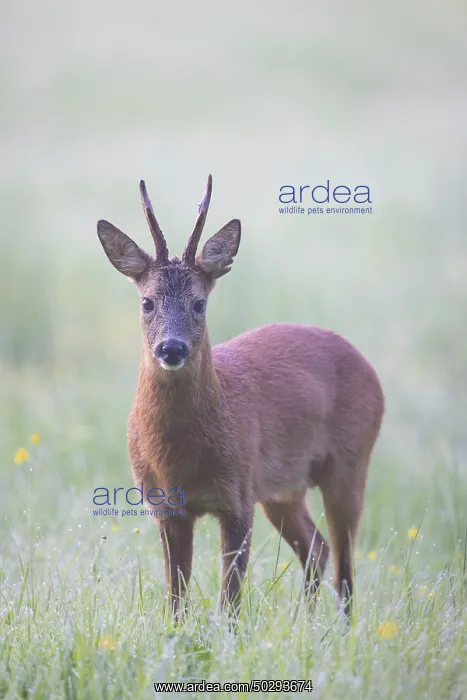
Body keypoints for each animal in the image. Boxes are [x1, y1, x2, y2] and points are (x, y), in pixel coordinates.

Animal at [96, 174, 384, 620]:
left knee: (345, 564)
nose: (172, 348)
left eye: (200, 303)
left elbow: (229, 601)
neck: (178, 457)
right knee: (317, 549)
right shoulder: (165, 507)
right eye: (147, 302)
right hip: (284, 490)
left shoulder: (237, 498)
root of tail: (367, 366)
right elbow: (175, 598)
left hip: (350, 461)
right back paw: (305, 623)